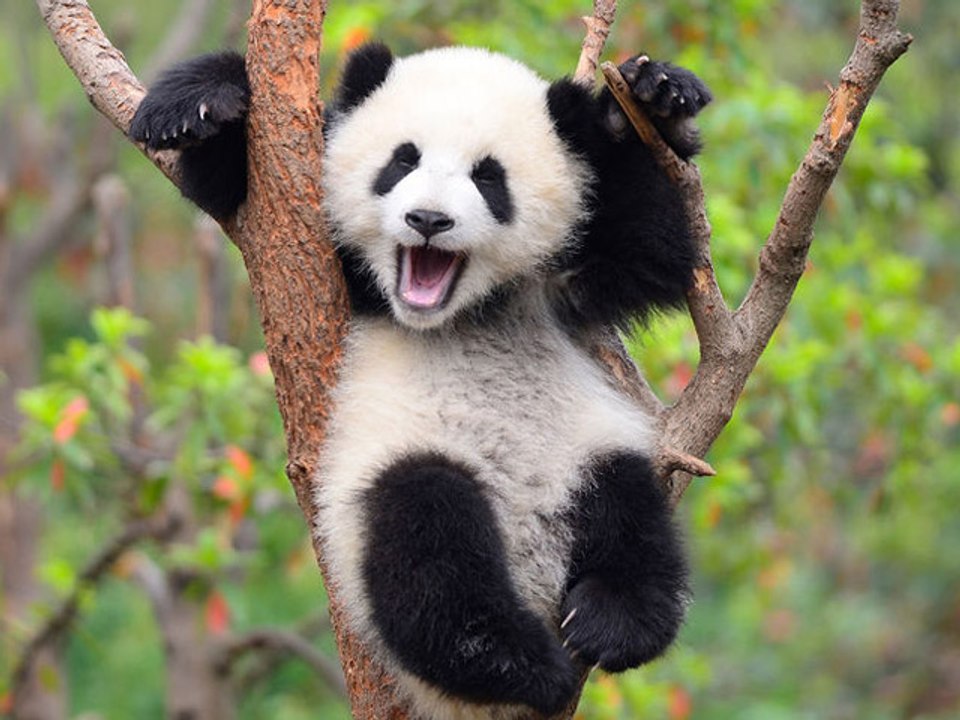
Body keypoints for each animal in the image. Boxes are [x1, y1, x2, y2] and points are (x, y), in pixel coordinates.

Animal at [132, 42, 711, 720]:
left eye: (489, 177)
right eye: (401, 161)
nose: (428, 219)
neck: (457, 314)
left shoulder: (564, 283)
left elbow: (654, 248)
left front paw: (652, 97)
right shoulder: (332, 263)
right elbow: (241, 190)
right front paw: (197, 105)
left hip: (583, 454)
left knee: (631, 518)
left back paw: (605, 623)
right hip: (394, 468)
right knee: (426, 541)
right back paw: (516, 662)